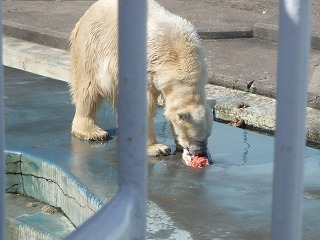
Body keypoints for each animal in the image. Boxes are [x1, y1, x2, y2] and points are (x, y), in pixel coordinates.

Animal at [69, 0, 214, 158]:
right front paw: (158, 148)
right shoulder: (148, 66)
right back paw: (93, 132)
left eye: (207, 136)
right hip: (93, 47)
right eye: (194, 136)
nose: (200, 152)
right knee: (89, 89)